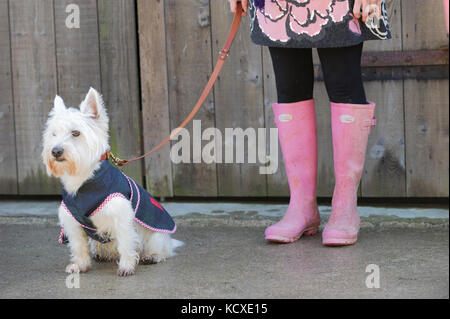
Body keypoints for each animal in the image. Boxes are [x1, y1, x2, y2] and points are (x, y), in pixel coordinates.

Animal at [41, 88, 183, 278]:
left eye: (76, 133)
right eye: (53, 134)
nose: (55, 151)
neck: (84, 180)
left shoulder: (121, 214)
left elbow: (126, 242)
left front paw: (126, 266)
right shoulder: (71, 219)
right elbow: (79, 246)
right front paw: (80, 265)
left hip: (157, 235)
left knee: (160, 247)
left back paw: (152, 256)